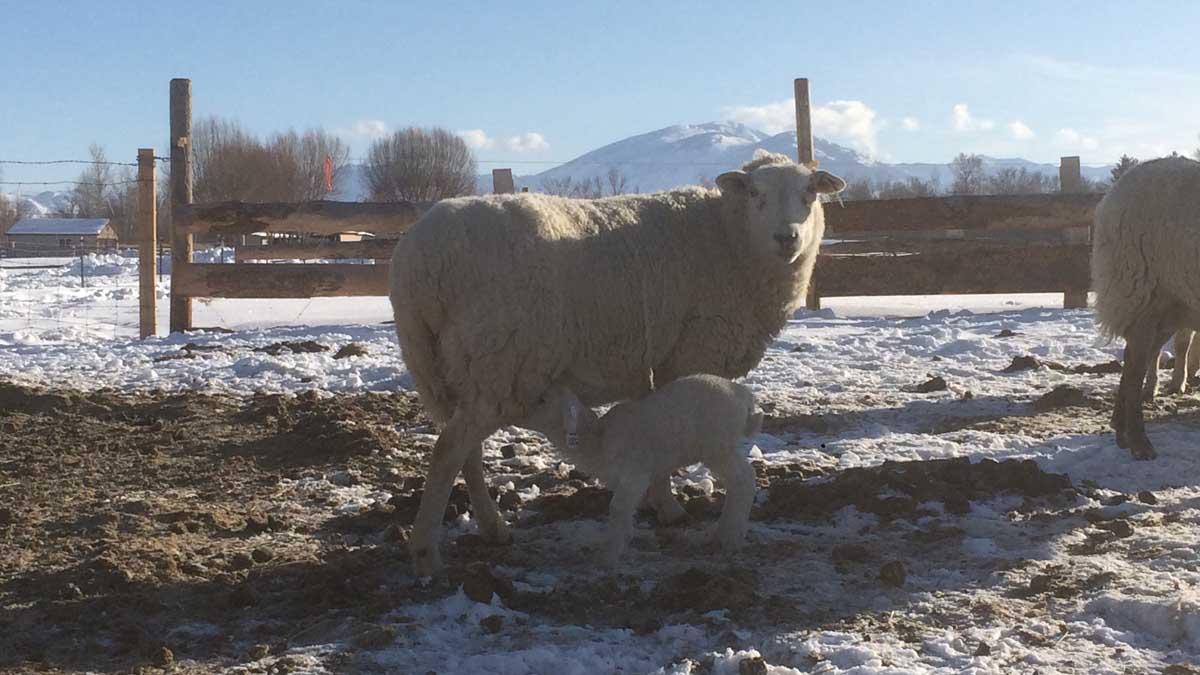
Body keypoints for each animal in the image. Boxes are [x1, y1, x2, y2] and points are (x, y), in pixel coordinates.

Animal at [523, 372, 763, 562]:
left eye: (542, 400)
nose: (521, 412)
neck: (598, 440)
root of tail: (744, 396)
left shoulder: (635, 473)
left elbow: (617, 508)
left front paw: (609, 554)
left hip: (717, 446)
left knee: (744, 479)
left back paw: (729, 537)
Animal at [1094, 154, 1200, 456]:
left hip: (1169, 306)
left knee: (1136, 356)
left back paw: (1121, 430)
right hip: (1140, 292)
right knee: (1135, 365)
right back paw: (1139, 442)